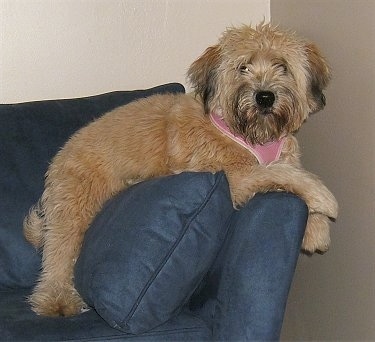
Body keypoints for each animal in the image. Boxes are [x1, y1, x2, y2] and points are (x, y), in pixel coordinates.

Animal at [25, 24, 340, 316]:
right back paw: (58, 301)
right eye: (243, 67)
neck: (247, 133)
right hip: (75, 208)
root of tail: (60, 156)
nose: (265, 97)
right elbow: (281, 175)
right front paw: (324, 200)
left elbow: (290, 172)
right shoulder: (231, 178)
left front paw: (316, 229)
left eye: (282, 66)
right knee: (58, 256)